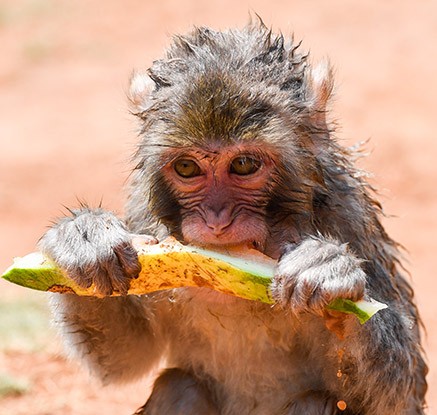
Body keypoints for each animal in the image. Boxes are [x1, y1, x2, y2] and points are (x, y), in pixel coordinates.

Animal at [38, 22, 426, 415]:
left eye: (243, 165)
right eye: (187, 168)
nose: (217, 220)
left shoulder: (349, 215)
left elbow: (400, 394)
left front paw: (326, 269)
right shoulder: (141, 216)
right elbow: (125, 357)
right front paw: (84, 239)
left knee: (316, 401)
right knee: (179, 385)